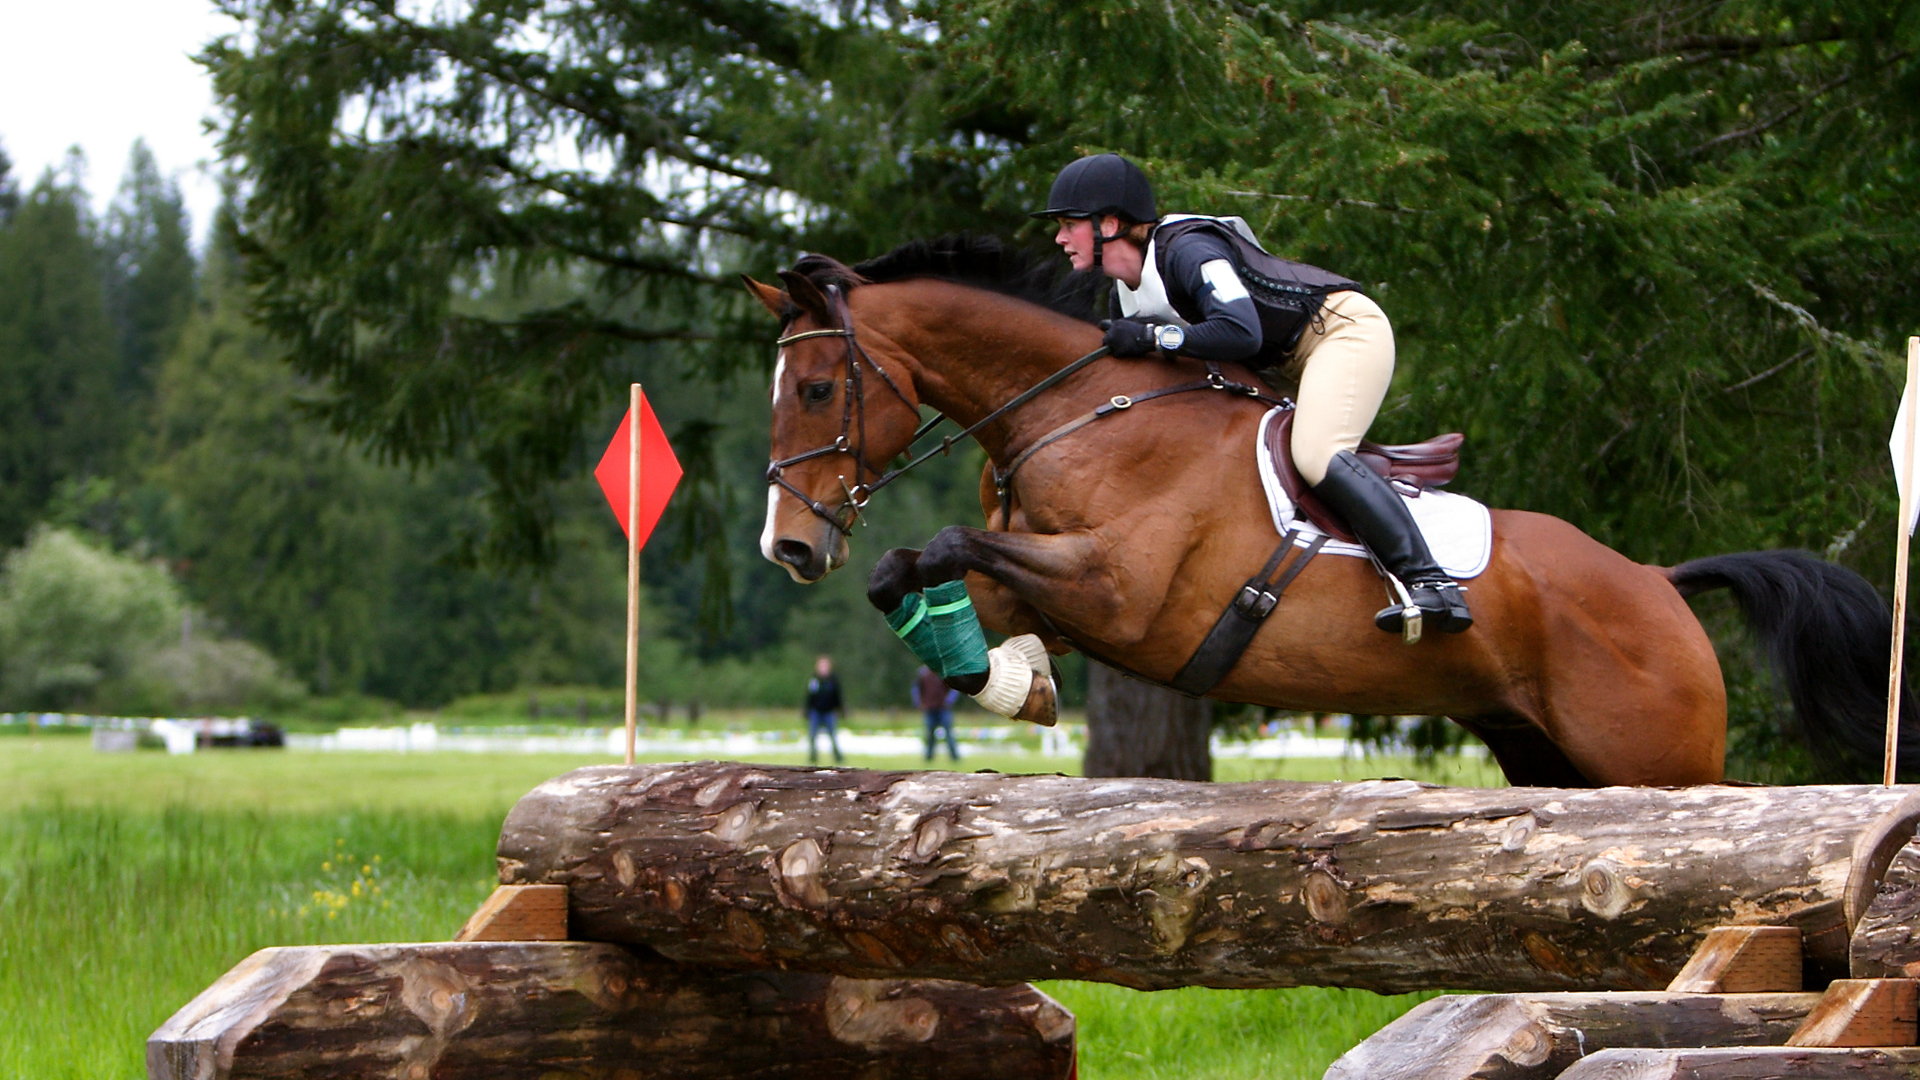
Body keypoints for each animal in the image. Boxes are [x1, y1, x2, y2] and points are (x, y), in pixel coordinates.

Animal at [747, 236, 1913, 788]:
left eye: (818, 388)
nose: (789, 546)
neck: (1086, 409)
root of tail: (1660, 585)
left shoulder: (1122, 595)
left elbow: (946, 542)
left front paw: (1008, 681)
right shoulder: (1051, 575)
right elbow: (922, 574)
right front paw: (1010, 682)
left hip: (1654, 760)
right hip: (1542, 752)